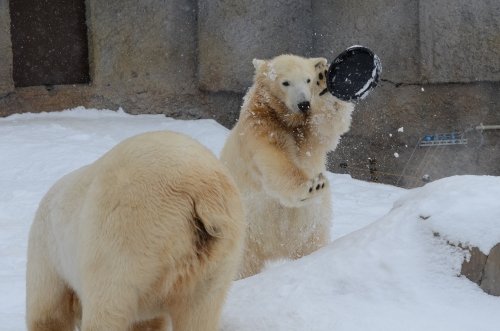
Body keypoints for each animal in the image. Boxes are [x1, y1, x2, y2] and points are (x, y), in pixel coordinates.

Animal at [26, 132, 245, 331]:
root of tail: (202, 191)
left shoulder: (48, 255)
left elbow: (48, 314)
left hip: (128, 235)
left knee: (107, 307)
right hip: (216, 258)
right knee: (200, 313)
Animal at [221, 55, 354, 280]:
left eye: (308, 80)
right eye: (285, 82)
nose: (303, 104)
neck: (287, 120)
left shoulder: (308, 131)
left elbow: (326, 126)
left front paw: (324, 79)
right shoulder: (260, 128)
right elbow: (276, 162)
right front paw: (312, 186)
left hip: (310, 229)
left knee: (312, 245)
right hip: (246, 234)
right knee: (242, 266)